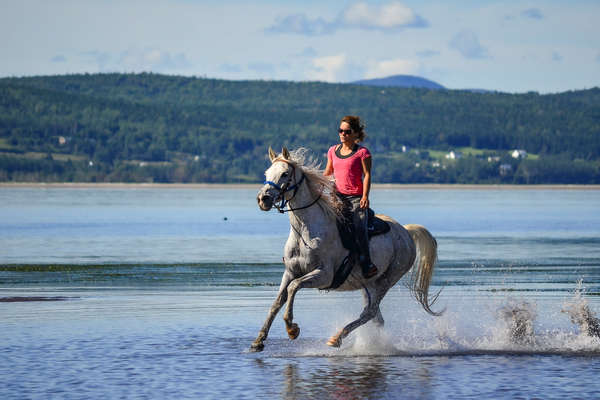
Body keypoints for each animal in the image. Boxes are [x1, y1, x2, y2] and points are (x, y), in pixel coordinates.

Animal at [251, 146, 442, 350]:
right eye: (267, 173)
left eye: (285, 174)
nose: (263, 199)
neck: (305, 230)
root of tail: (405, 231)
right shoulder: (290, 272)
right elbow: (278, 301)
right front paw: (259, 340)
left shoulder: (324, 275)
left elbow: (294, 287)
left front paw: (292, 329)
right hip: (369, 285)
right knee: (375, 316)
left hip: (387, 279)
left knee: (370, 312)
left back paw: (337, 338)